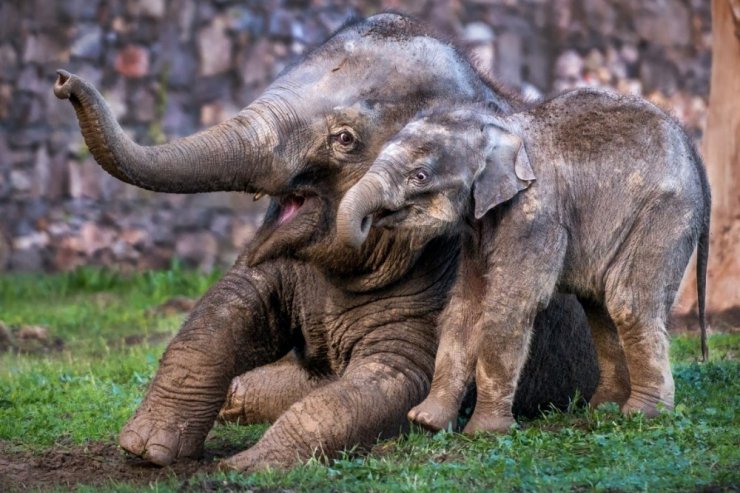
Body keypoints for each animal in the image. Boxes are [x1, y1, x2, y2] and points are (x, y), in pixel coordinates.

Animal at [53, 14, 596, 468]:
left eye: (344, 139)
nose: (62, 81)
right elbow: (224, 312)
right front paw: (144, 449)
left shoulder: (445, 275)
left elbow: (389, 383)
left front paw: (246, 466)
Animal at [340, 88, 712, 430]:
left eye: (420, 176)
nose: (369, 222)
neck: (500, 127)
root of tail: (692, 146)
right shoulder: (478, 231)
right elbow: (465, 307)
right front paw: (426, 422)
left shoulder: (535, 215)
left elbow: (509, 305)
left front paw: (484, 432)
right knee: (598, 304)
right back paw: (603, 409)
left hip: (664, 214)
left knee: (628, 302)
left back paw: (642, 414)